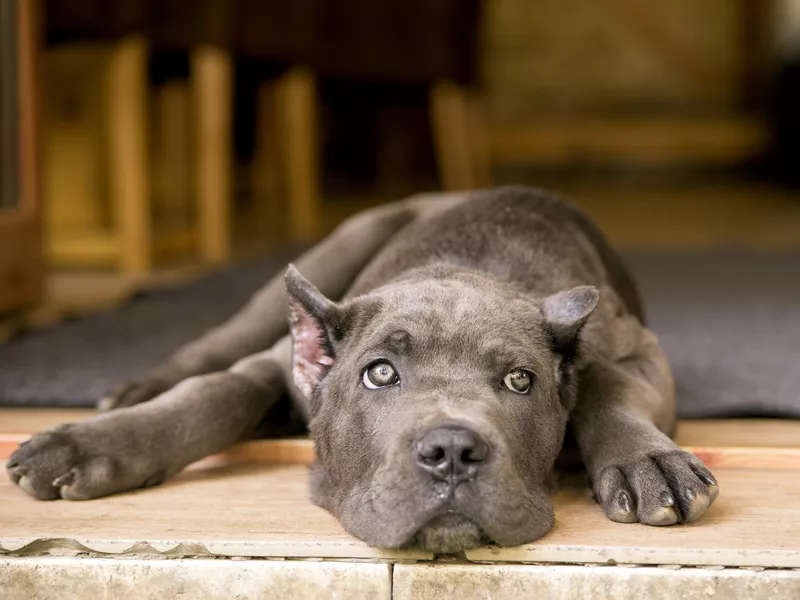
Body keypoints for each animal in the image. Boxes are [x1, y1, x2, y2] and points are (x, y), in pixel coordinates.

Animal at [6, 186, 720, 552]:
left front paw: (648, 460)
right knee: (215, 343)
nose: (452, 450)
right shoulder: (280, 361)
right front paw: (89, 445)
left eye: (521, 381)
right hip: (327, 255)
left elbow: (606, 385)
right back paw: (133, 390)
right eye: (379, 374)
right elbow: (215, 392)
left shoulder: (636, 350)